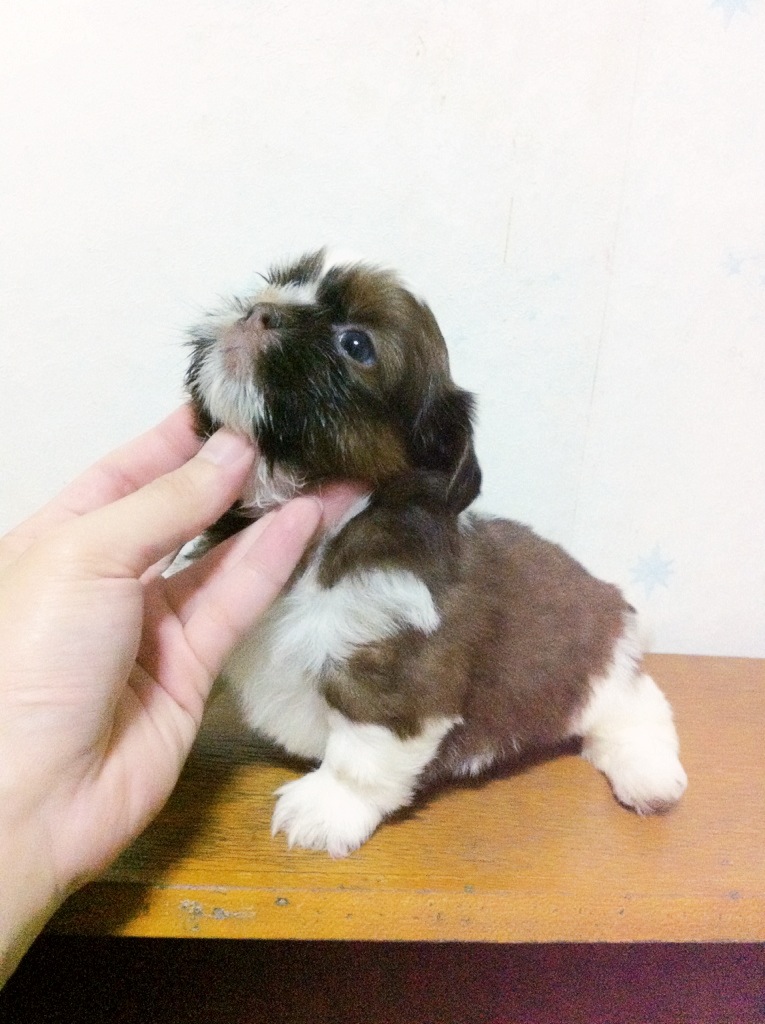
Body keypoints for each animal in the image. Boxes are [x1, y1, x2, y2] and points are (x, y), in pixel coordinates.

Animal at [185, 249, 687, 857]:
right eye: (281, 282)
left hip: (598, 669)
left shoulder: (397, 671)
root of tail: (610, 599)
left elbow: (363, 749)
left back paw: (649, 774)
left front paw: (327, 808)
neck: (329, 530)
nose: (261, 311)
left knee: (638, 704)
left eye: (357, 344)